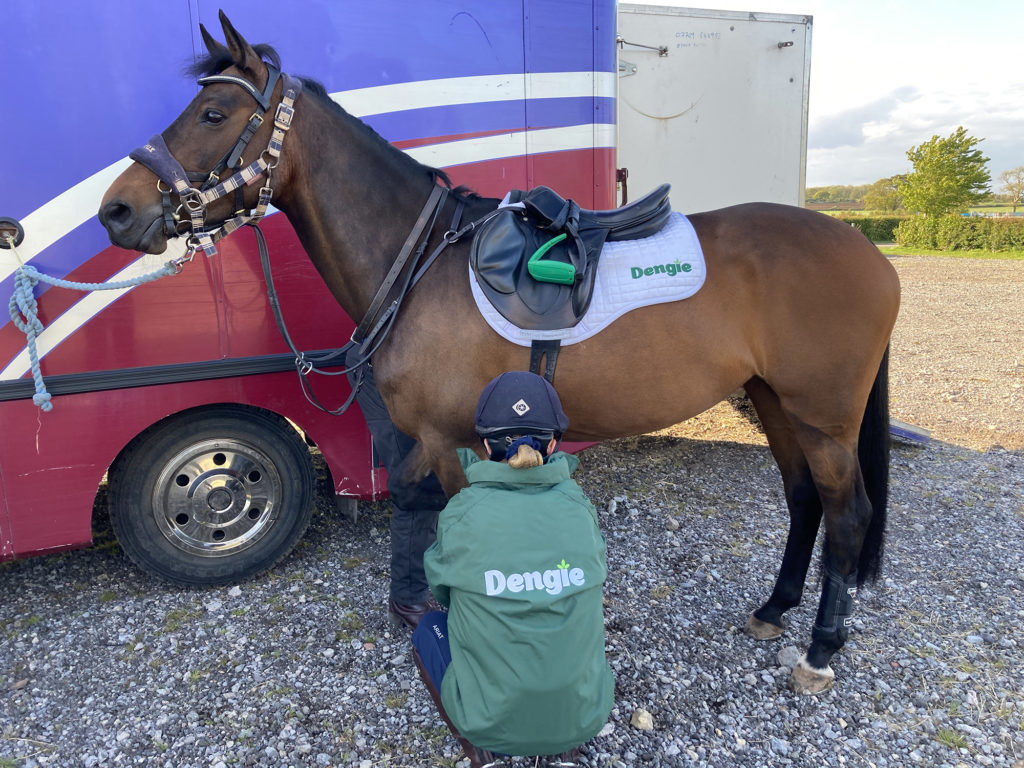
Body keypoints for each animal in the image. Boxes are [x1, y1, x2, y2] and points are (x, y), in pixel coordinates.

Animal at [96, 12, 897, 696]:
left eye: (212, 114)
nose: (117, 210)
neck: (420, 263)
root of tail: (866, 249)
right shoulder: (430, 442)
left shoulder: (451, 440)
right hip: (773, 400)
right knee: (803, 499)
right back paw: (774, 609)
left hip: (823, 417)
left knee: (846, 511)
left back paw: (820, 650)